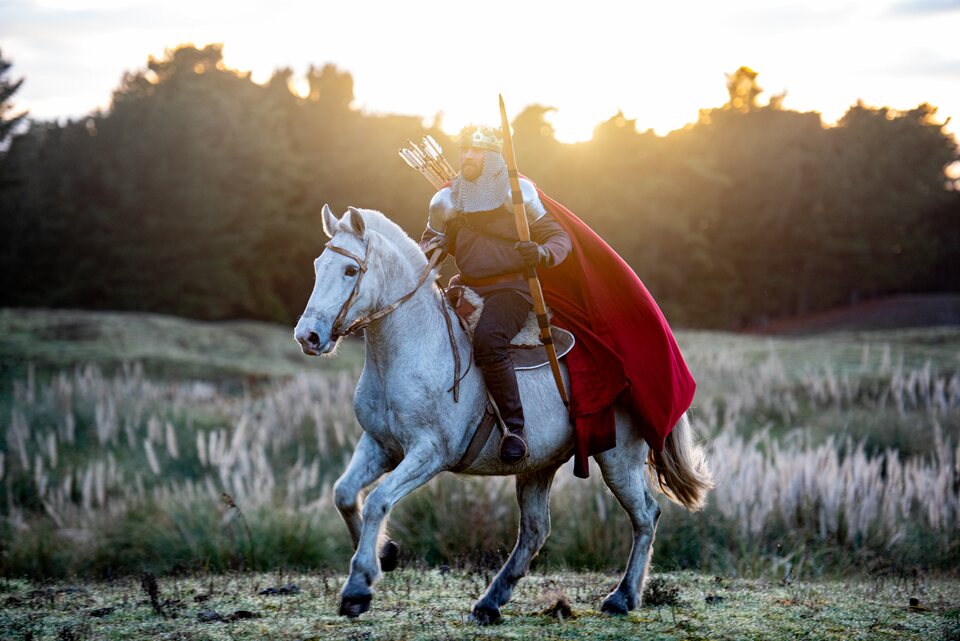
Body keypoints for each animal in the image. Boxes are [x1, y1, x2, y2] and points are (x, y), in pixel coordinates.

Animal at [292, 204, 712, 620]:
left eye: (350, 270)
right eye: (318, 265)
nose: (308, 337)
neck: (412, 347)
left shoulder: (429, 453)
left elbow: (378, 500)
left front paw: (358, 587)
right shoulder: (380, 445)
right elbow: (345, 493)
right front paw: (386, 553)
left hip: (617, 457)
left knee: (645, 515)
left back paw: (622, 597)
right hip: (539, 464)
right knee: (536, 530)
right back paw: (490, 601)